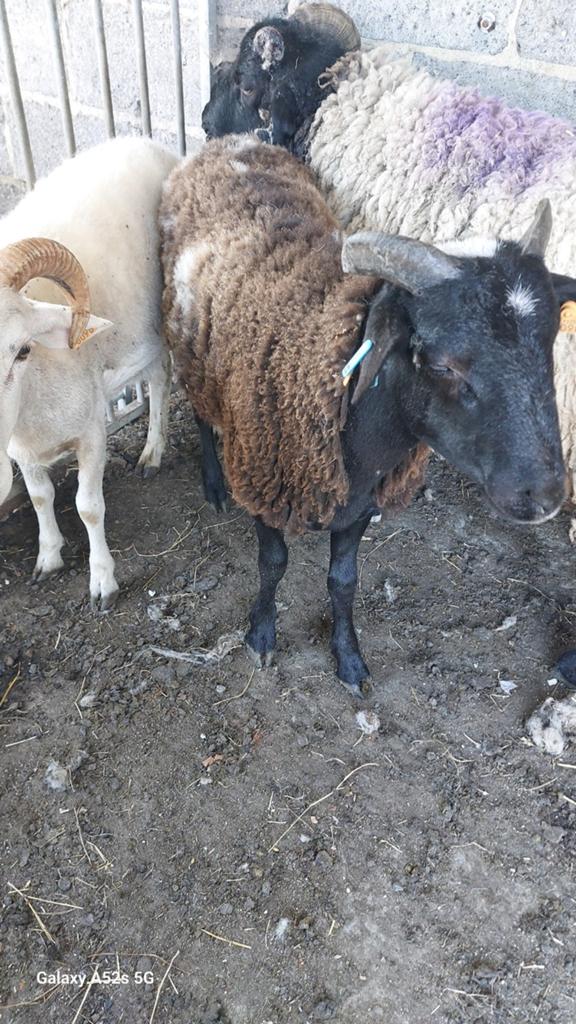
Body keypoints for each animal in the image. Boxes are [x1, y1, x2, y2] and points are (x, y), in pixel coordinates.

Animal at [0, 136, 178, 609]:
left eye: (22, 350)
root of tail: (141, 140)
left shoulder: (93, 431)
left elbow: (88, 506)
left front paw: (102, 581)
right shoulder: (21, 448)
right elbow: (40, 497)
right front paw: (48, 557)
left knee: (161, 381)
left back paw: (153, 452)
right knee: (156, 374)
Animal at [159, 136, 571, 695]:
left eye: (549, 344)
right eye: (441, 363)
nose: (544, 496)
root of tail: (234, 142)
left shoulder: (360, 504)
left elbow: (343, 581)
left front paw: (349, 657)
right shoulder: (264, 482)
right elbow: (273, 564)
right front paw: (261, 634)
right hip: (189, 351)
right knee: (203, 416)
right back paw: (213, 483)